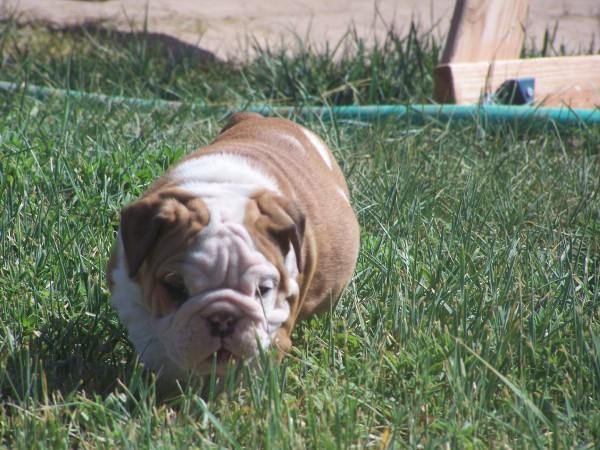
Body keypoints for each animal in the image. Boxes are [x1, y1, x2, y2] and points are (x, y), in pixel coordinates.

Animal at [107, 112, 358, 380]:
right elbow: (155, 341)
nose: (222, 318)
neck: (222, 189)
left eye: (263, 290)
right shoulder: (128, 290)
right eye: (176, 287)